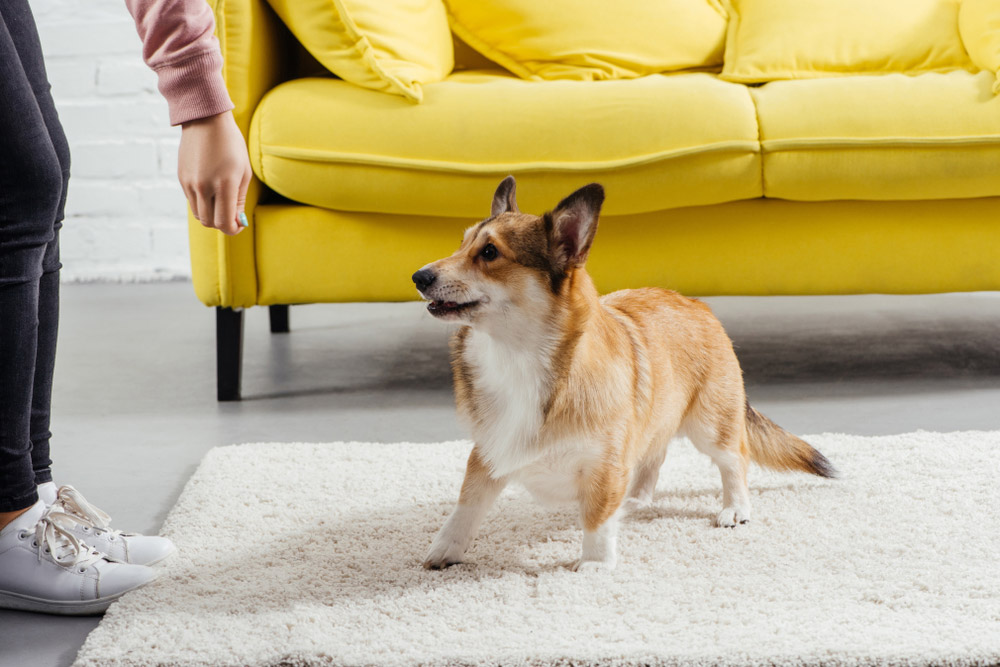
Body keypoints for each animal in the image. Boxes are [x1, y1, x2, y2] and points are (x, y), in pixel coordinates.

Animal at [410, 177, 832, 576]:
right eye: (461, 244)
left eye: (490, 253)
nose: (418, 276)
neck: (516, 356)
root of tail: (697, 304)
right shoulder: (487, 451)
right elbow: (467, 504)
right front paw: (445, 550)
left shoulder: (604, 463)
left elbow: (596, 516)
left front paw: (595, 562)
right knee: (654, 455)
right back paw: (635, 500)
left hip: (712, 425)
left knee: (735, 460)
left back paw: (735, 508)